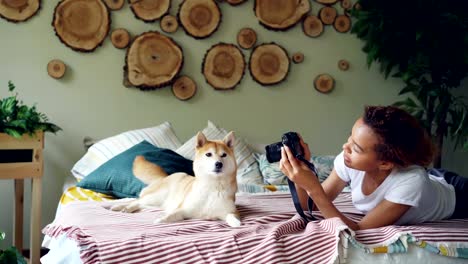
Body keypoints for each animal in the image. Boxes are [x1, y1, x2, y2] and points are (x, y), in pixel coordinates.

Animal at [110, 131, 241, 227]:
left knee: (141, 204)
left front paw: (236, 223)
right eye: (208, 154)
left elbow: (232, 216)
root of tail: (166, 176)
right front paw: (161, 219)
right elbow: (171, 215)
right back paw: (121, 207)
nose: (219, 164)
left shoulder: (230, 211)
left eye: (224, 155)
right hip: (157, 197)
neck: (213, 187)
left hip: (156, 204)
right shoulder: (183, 209)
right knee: (137, 201)